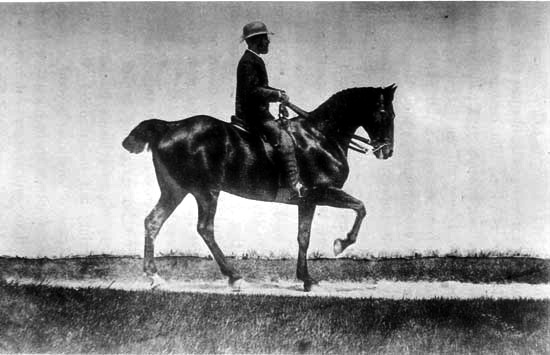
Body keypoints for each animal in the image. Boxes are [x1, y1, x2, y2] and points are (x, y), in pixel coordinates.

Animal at [122, 85, 396, 292]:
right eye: (383, 111)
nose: (387, 151)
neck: (321, 136)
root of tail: (170, 126)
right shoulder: (322, 192)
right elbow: (361, 208)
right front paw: (341, 243)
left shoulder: (307, 201)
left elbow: (303, 237)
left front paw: (306, 280)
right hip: (206, 191)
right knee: (205, 228)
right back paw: (235, 278)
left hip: (175, 190)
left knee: (153, 222)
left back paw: (155, 278)